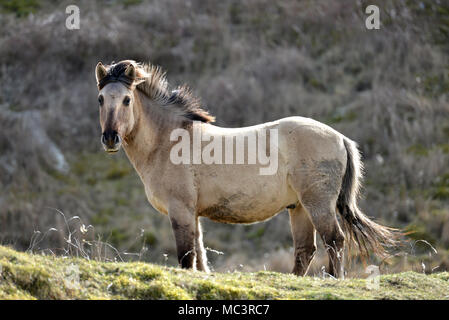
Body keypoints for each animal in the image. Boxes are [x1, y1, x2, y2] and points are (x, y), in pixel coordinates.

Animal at [94, 59, 396, 278]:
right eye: (101, 99)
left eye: (126, 100)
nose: (110, 138)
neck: (168, 141)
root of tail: (340, 138)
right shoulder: (193, 214)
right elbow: (200, 258)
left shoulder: (181, 211)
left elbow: (187, 258)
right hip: (299, 207)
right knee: (305, 250)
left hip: (317, 204)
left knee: (334, 240)